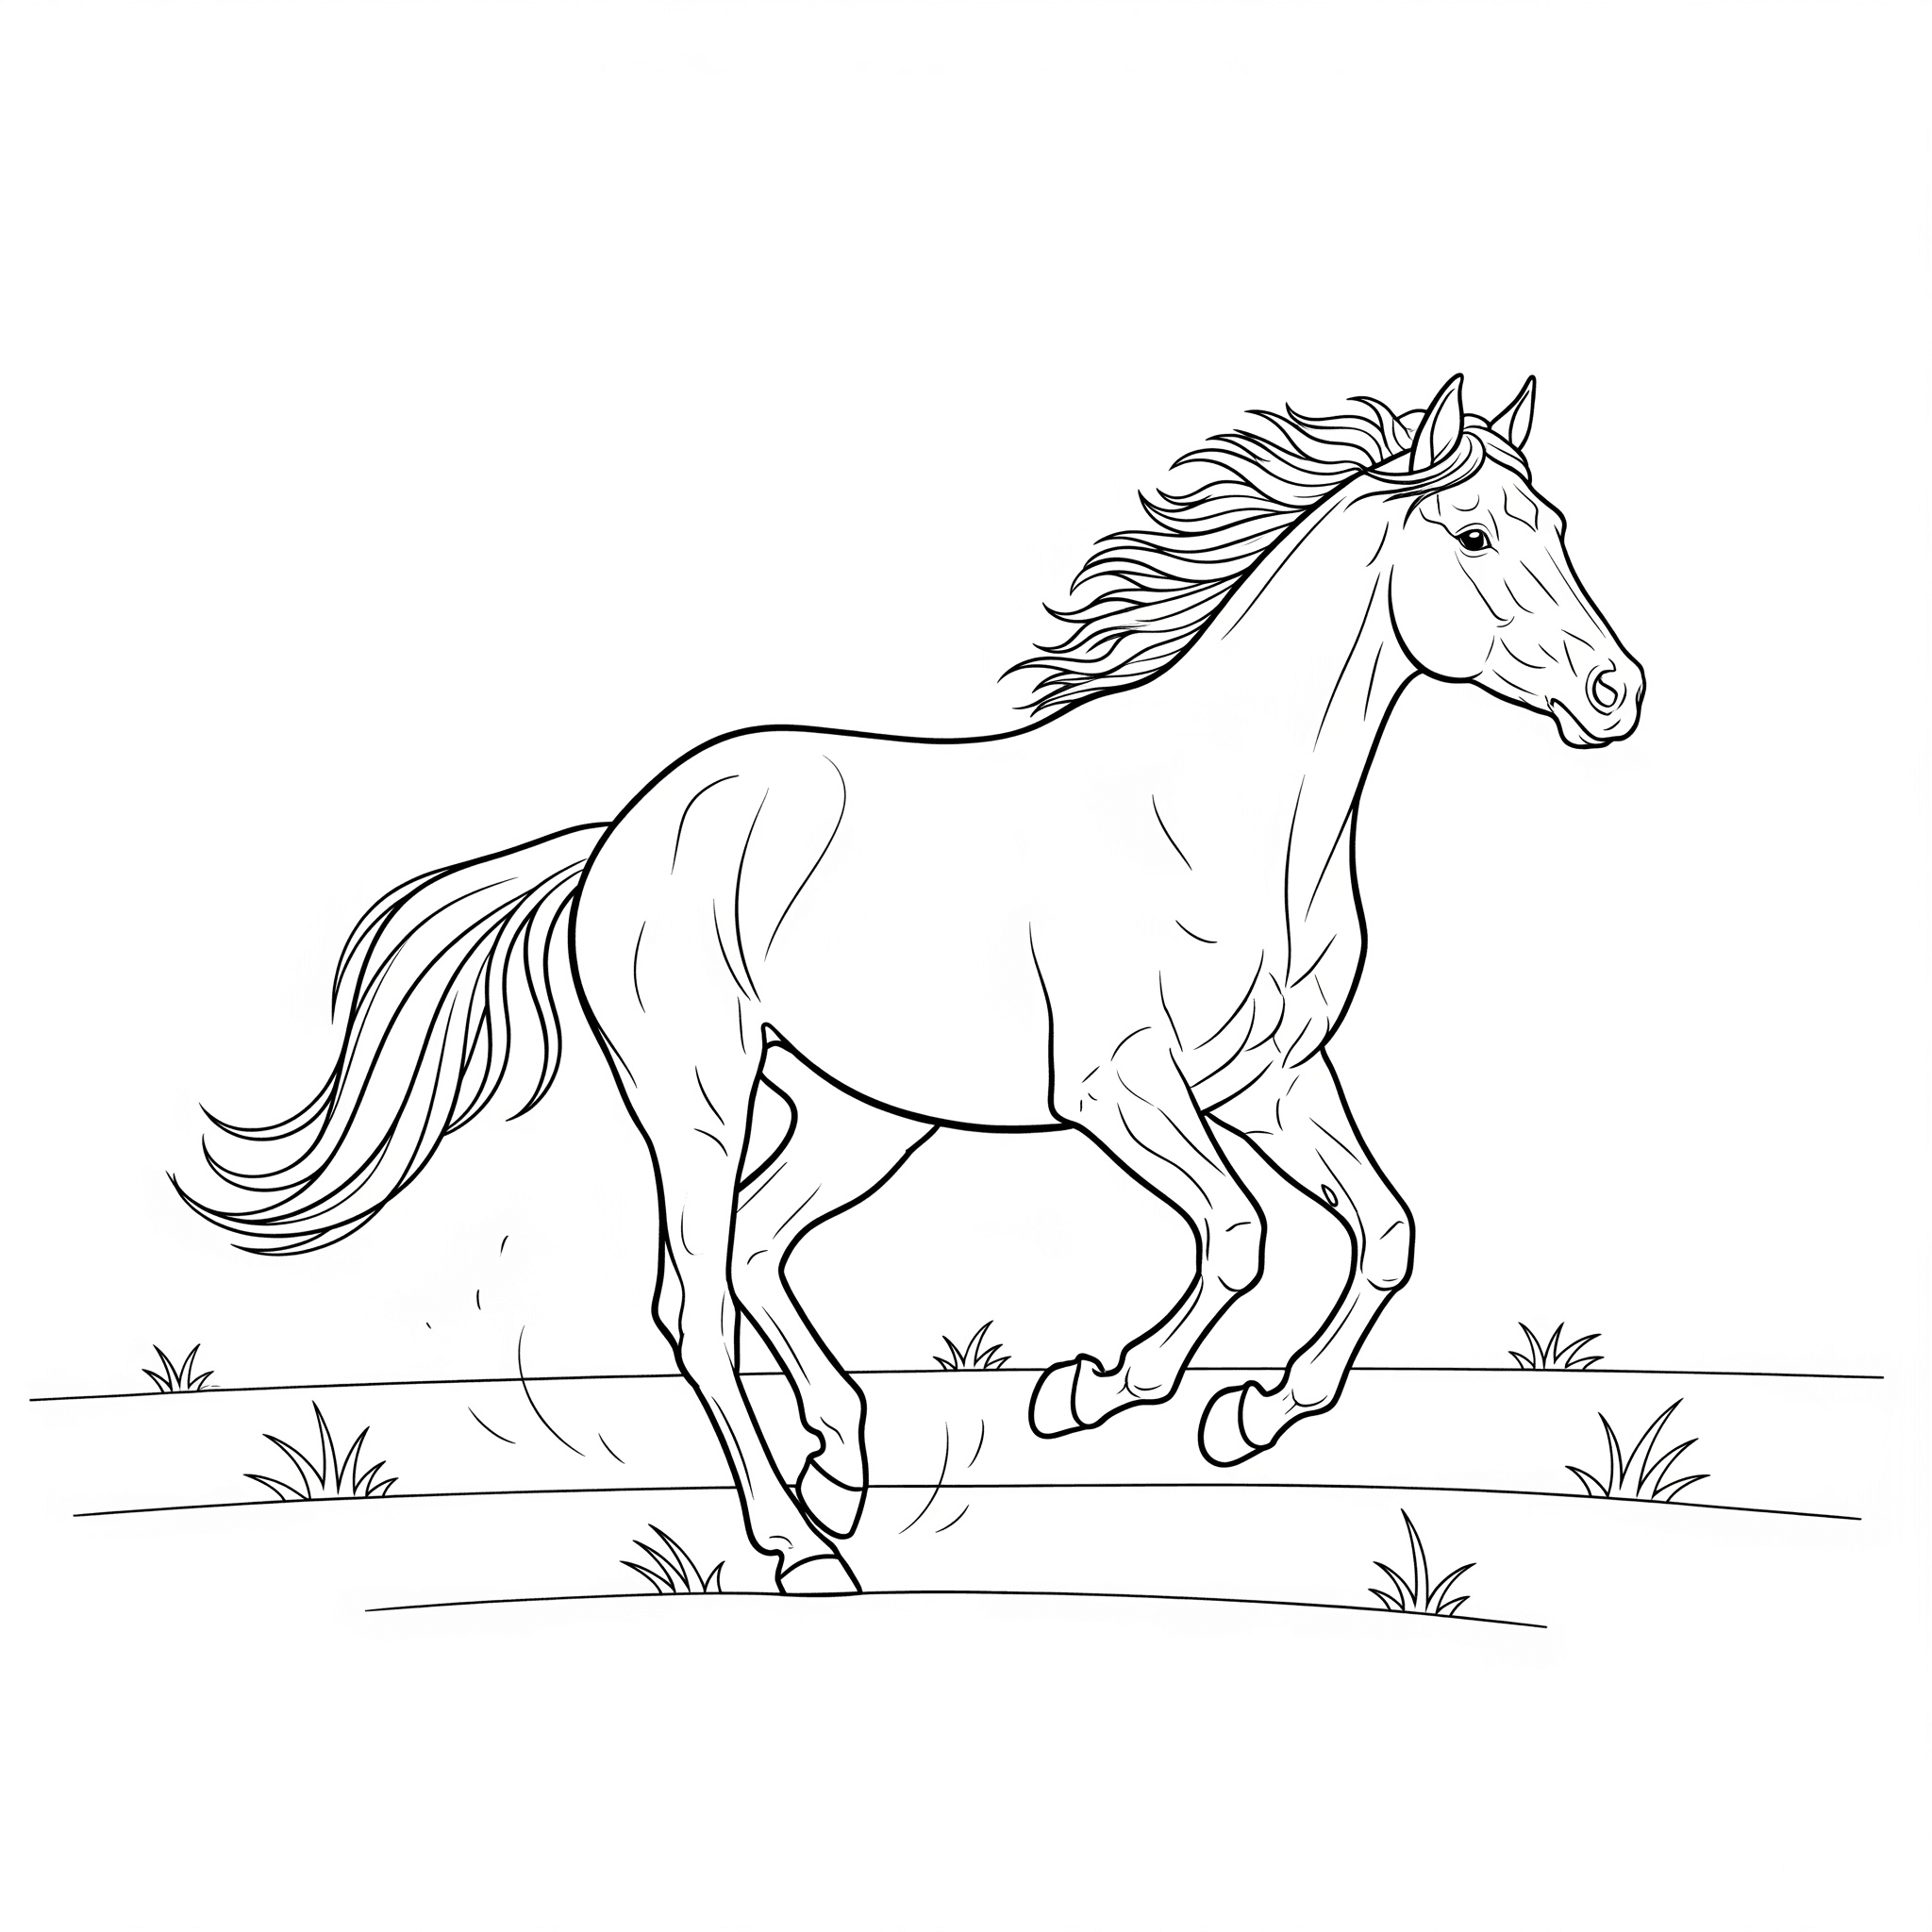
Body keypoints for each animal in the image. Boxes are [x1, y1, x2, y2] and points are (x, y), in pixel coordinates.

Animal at [179, 374, 1644, 1594]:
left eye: (1560, 523)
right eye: (1474, 538)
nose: (1615, 693)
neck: (1227, 813)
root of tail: (624, 832)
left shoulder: (1275, 1082)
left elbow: (1384, 1229)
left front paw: (1253, 1415)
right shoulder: (1122, 1091)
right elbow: (1239, 1232)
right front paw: (1095, 1387)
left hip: (861, 1117)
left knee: (759, 1247)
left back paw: (841, 1465)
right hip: (695, 1094)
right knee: (693, 1298)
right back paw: (797, 1546)